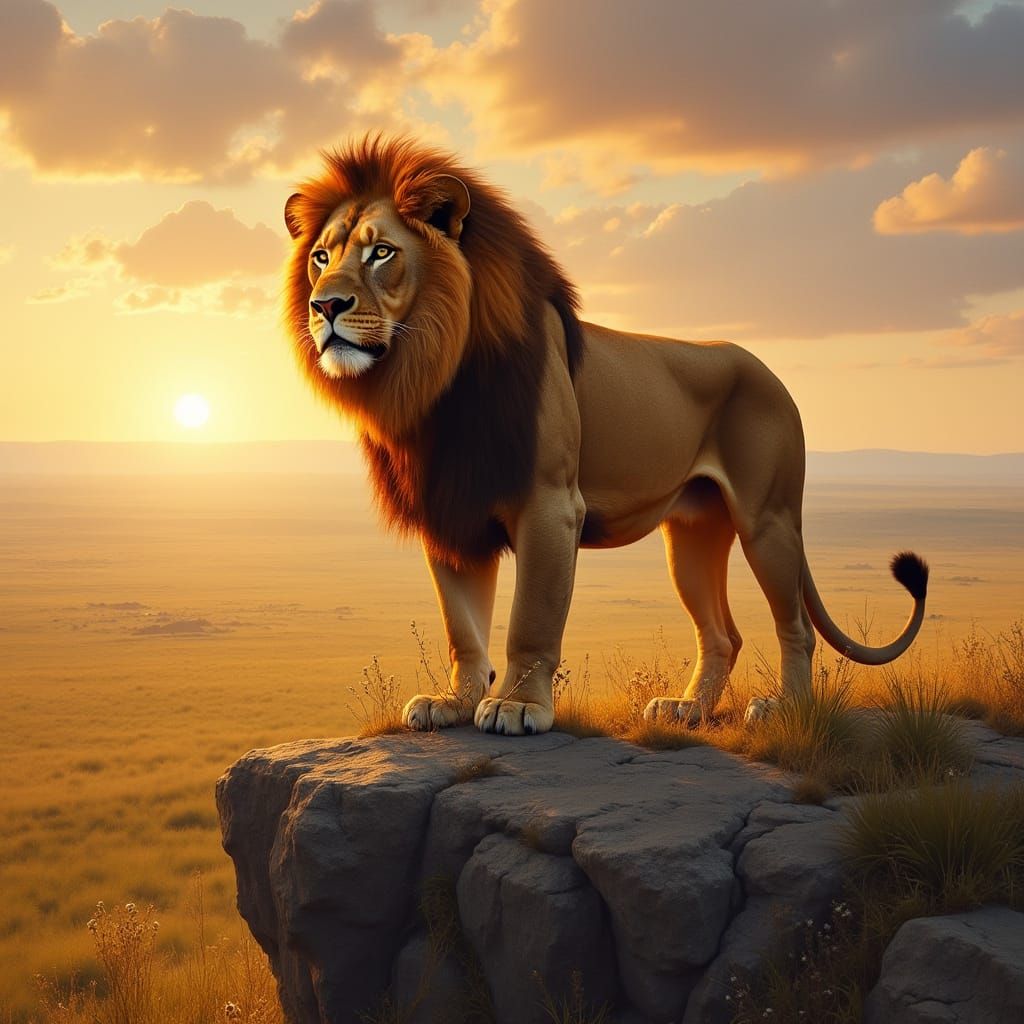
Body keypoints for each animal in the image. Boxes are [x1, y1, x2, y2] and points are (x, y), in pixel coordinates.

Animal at [283, 136, 928, 736]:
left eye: (381, 252)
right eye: (320, 257)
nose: (324, 306)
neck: (432, 378)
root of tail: (766, 367)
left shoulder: (551, 503)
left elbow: (531, 618)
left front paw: (518, 707)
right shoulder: (452, 509)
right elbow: (461, 626)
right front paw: (454, 702)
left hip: (767, 520)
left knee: (795, 625)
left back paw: (784, 709)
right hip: (693, 533)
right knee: (722, 633)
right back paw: (686, 709)